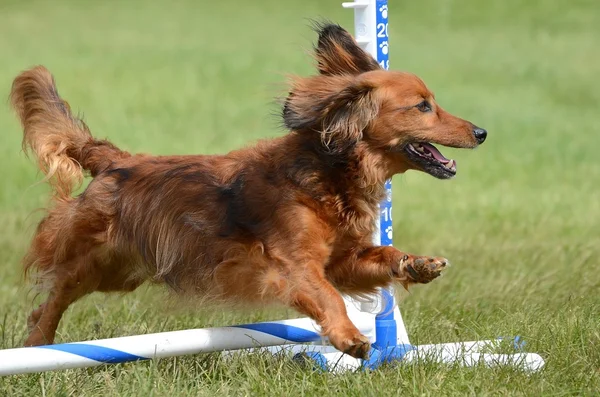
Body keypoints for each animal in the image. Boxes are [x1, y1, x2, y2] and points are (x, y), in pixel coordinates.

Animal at [9, 24, 486, 358]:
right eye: (422, 106)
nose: (482, 132)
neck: (327, 174)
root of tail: (114, 160)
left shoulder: (342, 260)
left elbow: (381, 255)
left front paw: (417, 263)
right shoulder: (295, 267)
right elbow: (329, 298)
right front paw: (349, 336)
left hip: (121, 270)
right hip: (95, 259)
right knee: (56, 292)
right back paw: (37, 343)